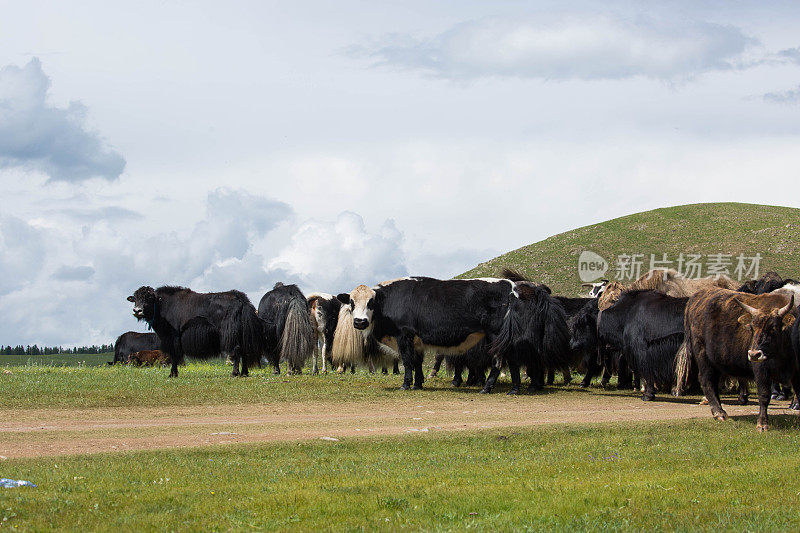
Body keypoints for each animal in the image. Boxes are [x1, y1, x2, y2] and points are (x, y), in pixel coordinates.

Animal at [125, 284, 262, 376]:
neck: (161, 305)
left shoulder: (173, 337)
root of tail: (241, 299)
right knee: (244, 350)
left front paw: (173, 374)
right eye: (135, 298)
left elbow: (174, 355)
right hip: (241, 334)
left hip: (230, 334)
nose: (137, 311)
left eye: (148, 298)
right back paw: (244, 373)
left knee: (236, 350)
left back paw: (235, 373)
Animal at [336, 274, 568, 394]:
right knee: (511, 359)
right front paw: (419, 383)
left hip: (495, 335)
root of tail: (510, 286)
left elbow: (408, 362)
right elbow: (418, 362)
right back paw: (514, 388)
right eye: (352, 302)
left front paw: (406, 385)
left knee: (498, 360)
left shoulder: (405, 336)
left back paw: (487, 387)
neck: (390, 300)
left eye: (371, 302)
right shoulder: (417, 341)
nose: (359, 322)